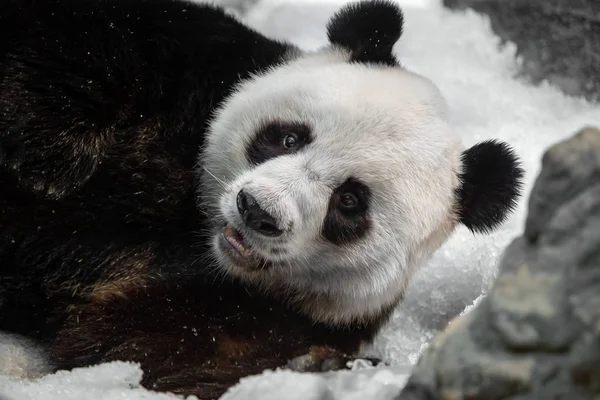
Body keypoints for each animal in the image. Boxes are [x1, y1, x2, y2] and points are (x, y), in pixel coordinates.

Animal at [0, 0, 524, 398]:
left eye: (350, 202)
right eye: (289, 138)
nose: (258, 210)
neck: (194, 229)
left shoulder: (284, 314)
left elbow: (144, 350)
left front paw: (316, 368)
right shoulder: (192, 60)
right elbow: (82, 43)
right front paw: (50, 157)